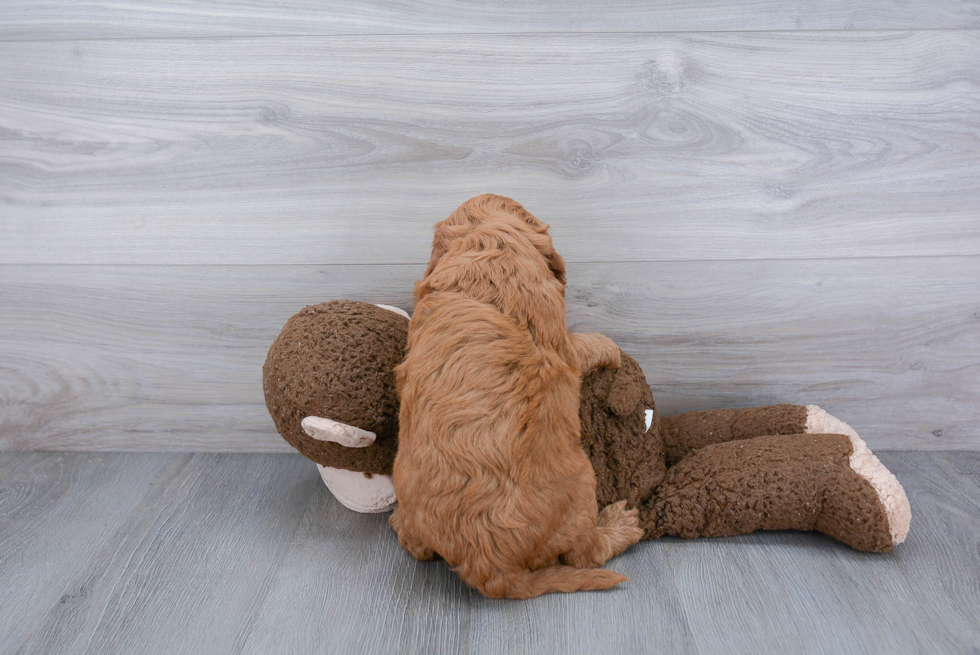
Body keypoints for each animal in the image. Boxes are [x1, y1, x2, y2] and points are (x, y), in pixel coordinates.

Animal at [390, 193, 644, 600]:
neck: (487, 248)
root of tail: (491, 568)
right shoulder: (562, 342)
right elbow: (585, 344)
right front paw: (610, 347)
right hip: (582, 486)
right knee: (585, 554)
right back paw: (621, 524)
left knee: (416, 547)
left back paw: (399, 521)